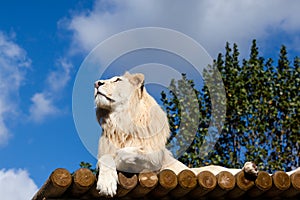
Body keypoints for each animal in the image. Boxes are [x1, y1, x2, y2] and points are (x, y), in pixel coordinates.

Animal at [94, 72, 258, 197]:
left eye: (117, 80)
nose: (96, 83)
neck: (119, 122)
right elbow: (106, 158)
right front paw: (106, 183)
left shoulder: (155, 158)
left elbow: (131, 152)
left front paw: (120, 158)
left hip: (217, 170)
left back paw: (250, 168)